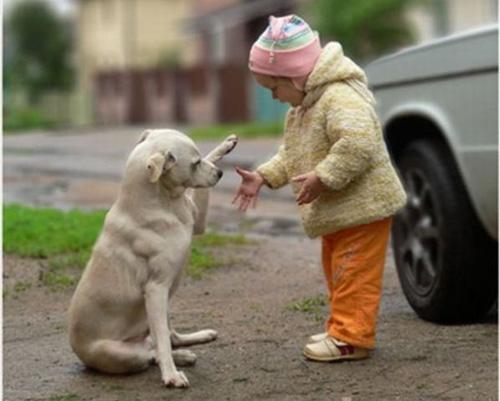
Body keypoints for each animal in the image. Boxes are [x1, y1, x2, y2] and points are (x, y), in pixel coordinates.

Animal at [68, 130, 238, 386]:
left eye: (200, 159)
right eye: (195, 163)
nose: (220, 174)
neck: (163, 201)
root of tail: (76, 349)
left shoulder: (198, 223)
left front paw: (226, 145)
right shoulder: (156, 289)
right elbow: (163, 347)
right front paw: (171, 376)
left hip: (162, 309)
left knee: (167, 338)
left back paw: (192, 344)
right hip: (125, 351)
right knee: (154, 351)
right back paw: (175, 362)